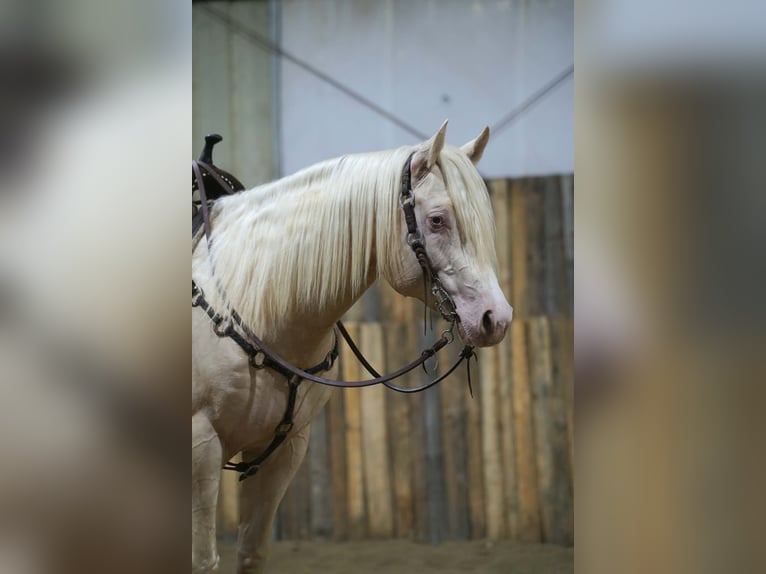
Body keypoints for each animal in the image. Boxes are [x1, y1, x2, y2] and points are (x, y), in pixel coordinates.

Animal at [192, 121, 513, 574]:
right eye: (436, 220)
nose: (495, 318)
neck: (243, 303)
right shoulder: (200, 446)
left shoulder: (285, 450)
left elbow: (252, 553)